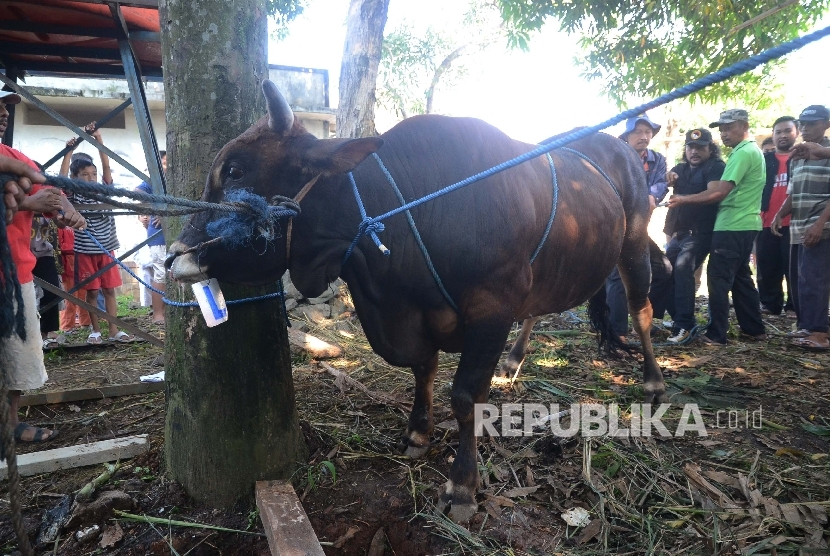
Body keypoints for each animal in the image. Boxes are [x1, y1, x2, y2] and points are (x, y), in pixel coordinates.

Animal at [169, 80, 668, 524]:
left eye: (235, 170)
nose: (174, 255)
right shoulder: (417, 315)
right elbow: (423, 371)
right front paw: (417, 432)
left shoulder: (492, 307)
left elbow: (465, 396)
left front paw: (463, 486)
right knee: (539, 311)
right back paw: (513, 362)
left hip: (634, 244)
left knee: (641, 311)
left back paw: (653, 380)